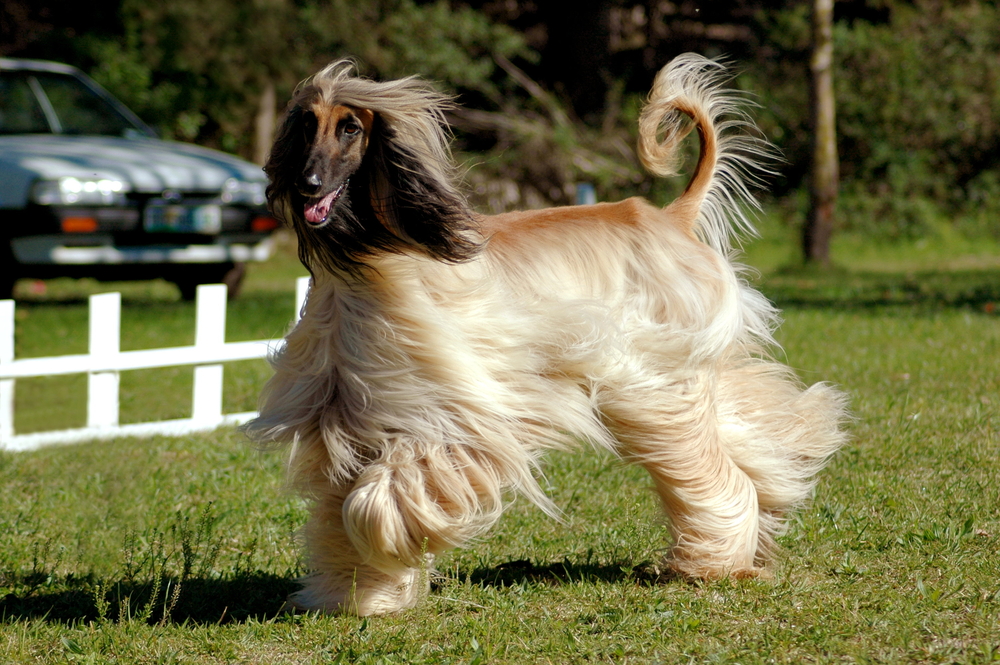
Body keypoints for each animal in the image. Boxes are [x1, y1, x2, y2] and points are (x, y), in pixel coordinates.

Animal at [246, 54, 848, 616]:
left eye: (351, 128)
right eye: (306, 127)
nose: (306, 185)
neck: (373, 265)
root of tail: (671, 217)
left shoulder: (458, 418)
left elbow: (367, 505)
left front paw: (387, 554)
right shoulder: (347, 422)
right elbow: (337, 507)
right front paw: (358, 596)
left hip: (651, 377)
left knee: (706, 463)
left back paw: (712, 562)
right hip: (675, 376)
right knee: (747, 428)